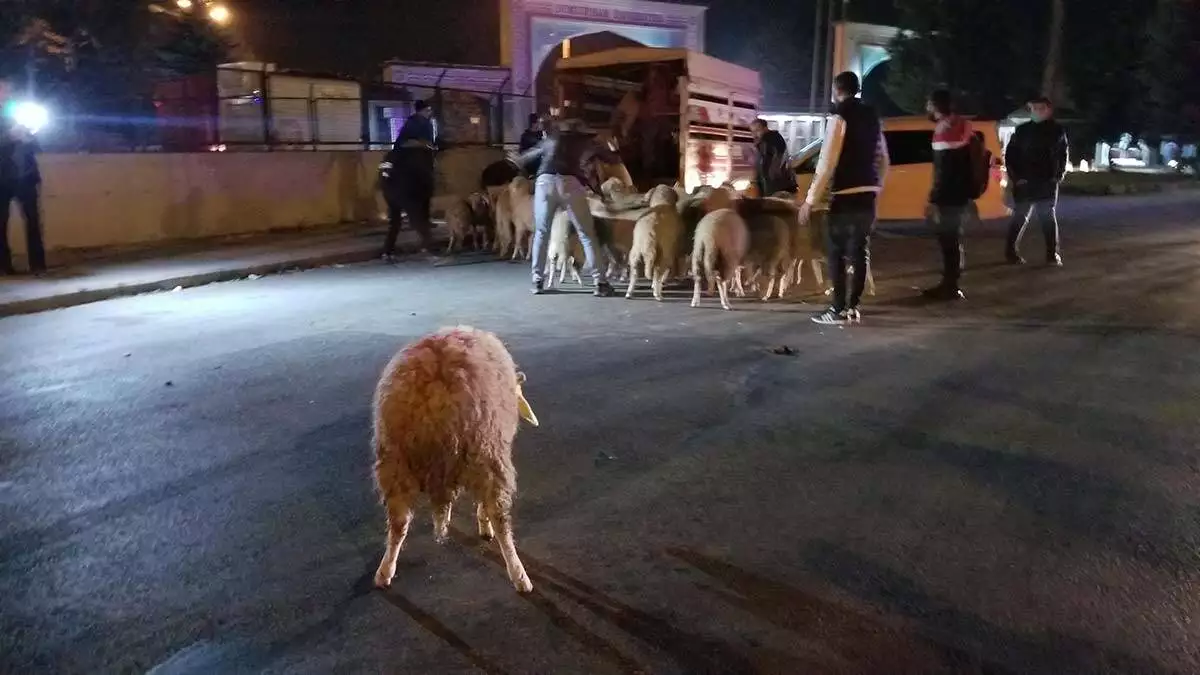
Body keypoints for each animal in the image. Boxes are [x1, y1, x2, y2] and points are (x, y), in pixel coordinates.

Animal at [369, 324, 540, 590]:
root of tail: (435, 398)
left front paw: (449, 516)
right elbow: (484, 508)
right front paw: (483, 526)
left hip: (394, 463)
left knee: (398, 523)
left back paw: (385, 571)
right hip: (487, 453)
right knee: (499, 516)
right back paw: (519, 575)